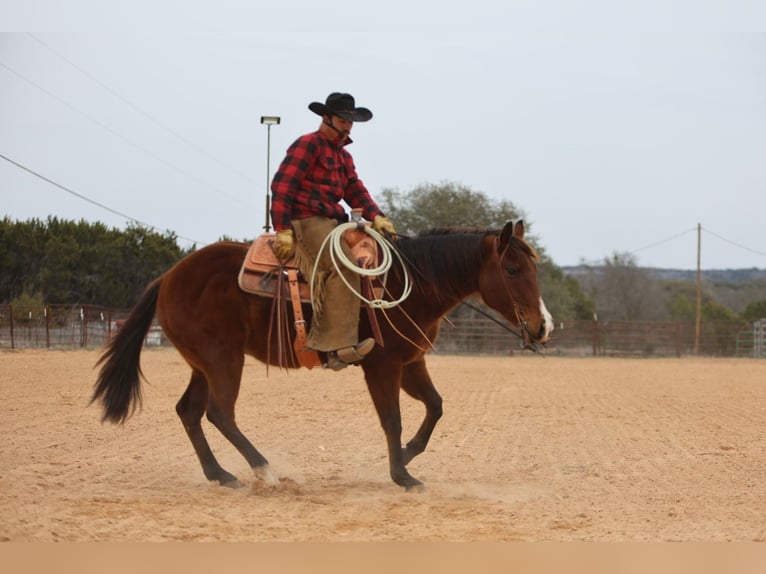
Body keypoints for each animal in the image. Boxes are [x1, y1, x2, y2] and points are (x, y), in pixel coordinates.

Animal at [93, 220, 556, 490]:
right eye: (512, 270)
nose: (543, 325)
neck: (407, 284)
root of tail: (169, 276)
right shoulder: (383, 366)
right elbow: (392, 418)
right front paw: (402, 475)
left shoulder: (411, 363)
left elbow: (435, 407)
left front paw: (407, 454)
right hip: (223, 360)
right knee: (219, 414)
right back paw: (264, 470)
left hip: (202, 364)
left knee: (189, 411)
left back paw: (220, 475)